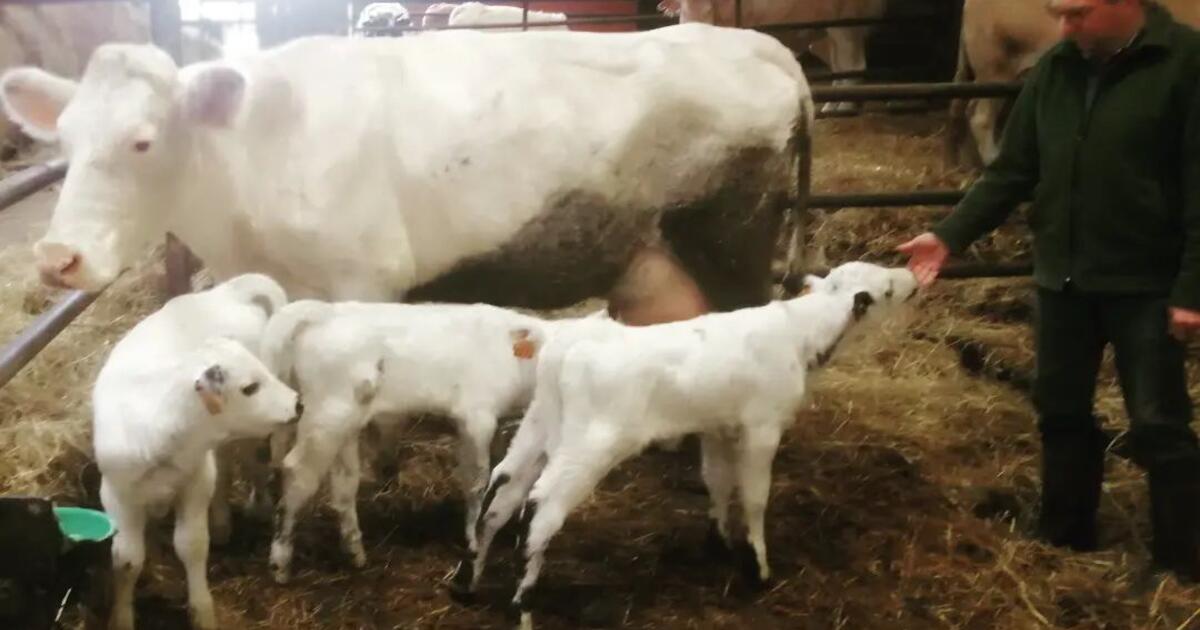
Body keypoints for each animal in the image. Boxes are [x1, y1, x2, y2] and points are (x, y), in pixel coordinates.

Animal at [0, 23, 812, 330]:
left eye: (142, 141)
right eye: (63, 142)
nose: (58, 257)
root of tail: (756, 41)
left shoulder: (367, 280)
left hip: (734, 236)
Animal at [657, 0, 888, 114]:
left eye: (704, 4)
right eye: (682, 6)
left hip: (845, 22)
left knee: (855, 65)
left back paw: (843, 109)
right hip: (822, 36)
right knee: (840, 68)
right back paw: (831, 108)